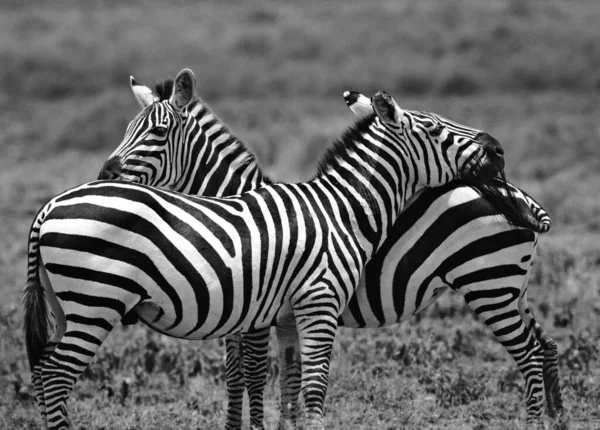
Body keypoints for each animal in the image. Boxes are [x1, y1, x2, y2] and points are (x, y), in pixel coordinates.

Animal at [24, 69, 502, 428]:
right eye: (438, 128)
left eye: (156, 132)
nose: (496, 148)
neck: (342, 207)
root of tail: (49, 206)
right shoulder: (298, 306)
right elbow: (278, 384)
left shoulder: (263, 313)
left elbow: (263, 381)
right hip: (93, 301)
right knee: (54, 374)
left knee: (45, 373)